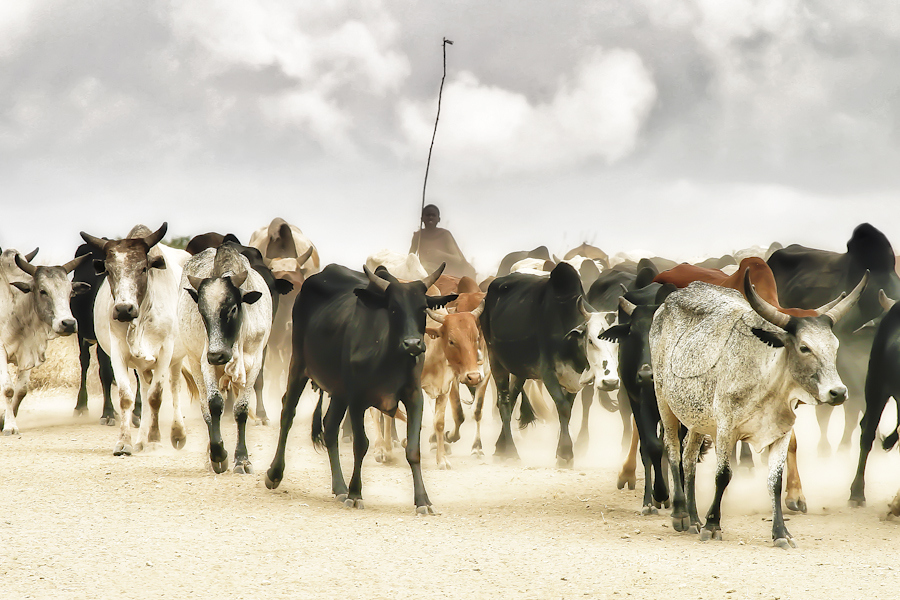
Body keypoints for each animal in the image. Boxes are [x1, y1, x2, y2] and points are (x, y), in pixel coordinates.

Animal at [264, 260, 454, 512]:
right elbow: (360, 445)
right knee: (288, 412)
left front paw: (423, 500)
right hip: (299, 363)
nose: (413, 344)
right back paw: (275, 473)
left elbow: (413, 449)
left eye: (423, 308)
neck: (389, 358)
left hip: (338, 390)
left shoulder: (414, 397)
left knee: (329, 427)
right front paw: (356, 493)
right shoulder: (357, 399)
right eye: (393, 308)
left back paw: (339, 487)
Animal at [482, 262, 596, 468]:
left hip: (520, 370)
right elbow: (562, 407)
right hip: (495, 360)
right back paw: (511, 452)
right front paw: (565, 455)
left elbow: (567, 409)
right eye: (590, 340)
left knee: (512, 400)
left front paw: (562, 452)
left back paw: (500, 448)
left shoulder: (575, 380)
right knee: (503, 402)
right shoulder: (548, 373)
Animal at [652, 272, 868, 548]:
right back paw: (680, 514)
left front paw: (781, 532)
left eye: (835, 346)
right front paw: (713, 525)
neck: (768, 382)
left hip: (696, 417)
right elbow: (723, 475)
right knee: (672, 450)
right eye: (804, 347)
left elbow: (775, 481)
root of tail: (668, 302)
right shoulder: (726, 429)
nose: (838, 392)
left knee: (688, 458)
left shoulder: (781, 432)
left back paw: (693, 518)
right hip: (664, 401)